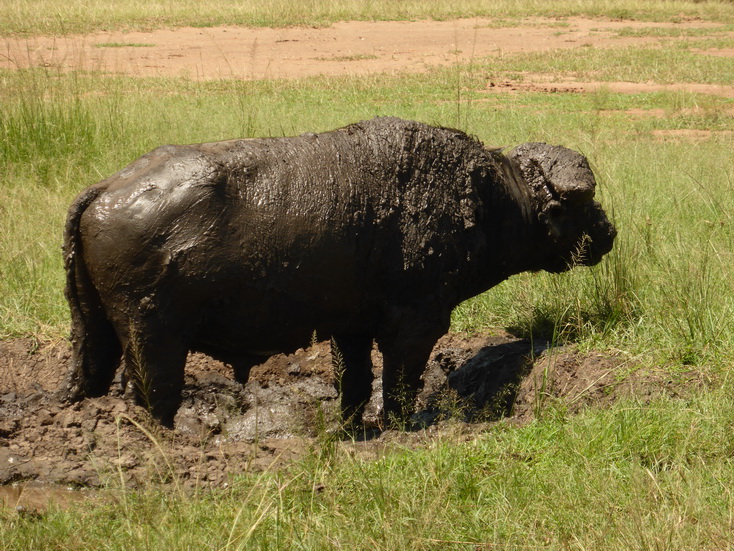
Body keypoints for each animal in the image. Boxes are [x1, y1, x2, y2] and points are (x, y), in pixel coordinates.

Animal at [61, 116, 616, 426]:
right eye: (582, 206)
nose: (609, 232)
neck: (488, 200)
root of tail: (105, 188)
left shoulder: (349, 329)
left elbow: (354, 383)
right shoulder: (416, 326)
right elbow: (398, 385)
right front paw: (398, 426)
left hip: (99, 334)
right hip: (152, 339)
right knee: (155, 395)